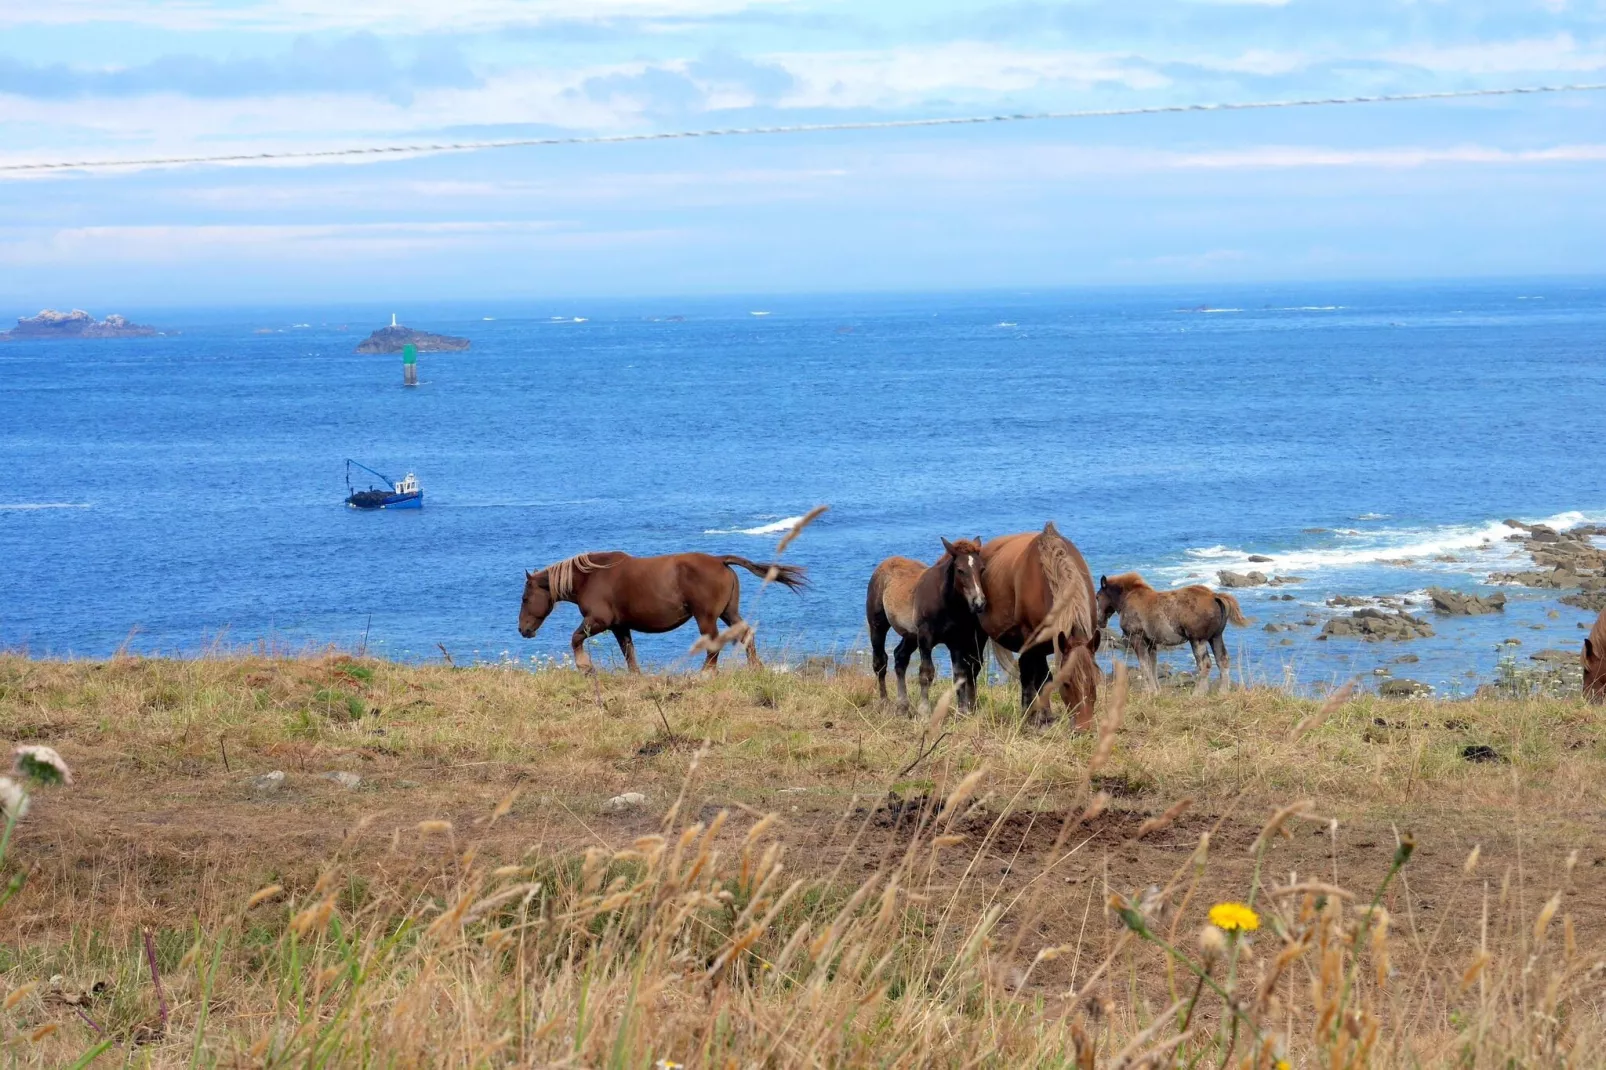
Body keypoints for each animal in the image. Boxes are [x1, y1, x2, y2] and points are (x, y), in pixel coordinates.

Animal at [520, 549, 809, 668]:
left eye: (524, 598)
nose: (523, 629)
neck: (591, 577)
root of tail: (720, 561)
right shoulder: (619, 627)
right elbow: (629, 655)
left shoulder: (598, 621)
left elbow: (575, 639)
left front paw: (584, 666)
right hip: (728, 613)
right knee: (746, 633)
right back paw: (755, 668)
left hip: (706, 617)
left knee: (714, 645)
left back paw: (706, 674)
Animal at [867, 536, 989, 713]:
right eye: (960, 570)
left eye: (982, 569)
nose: (979, 602)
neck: (946, 602)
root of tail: (883, 565)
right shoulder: (925, 637)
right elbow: (926, 673)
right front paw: (924, 710)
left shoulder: (956, 641)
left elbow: (959, 674)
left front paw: (962, 711)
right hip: (877, 625)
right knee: (880, 661)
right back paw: (884, 702)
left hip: (910, 634)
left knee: (900, 657)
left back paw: (902, 705)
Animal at [1098, 565, 1246, 690]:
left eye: (1097, 596)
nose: (1100, 622)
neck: (1126, 599)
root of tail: (1214, 596)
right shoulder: (1151, 642)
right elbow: (1153, 666)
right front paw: (1156, 691)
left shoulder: (1136, 637)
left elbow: (1144, 666)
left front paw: (1150, 692)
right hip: (1215, 636)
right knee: (1223, 660)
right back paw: (1222, 692)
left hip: (1197, 639)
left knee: (1205, 664)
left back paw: (1198, 694)